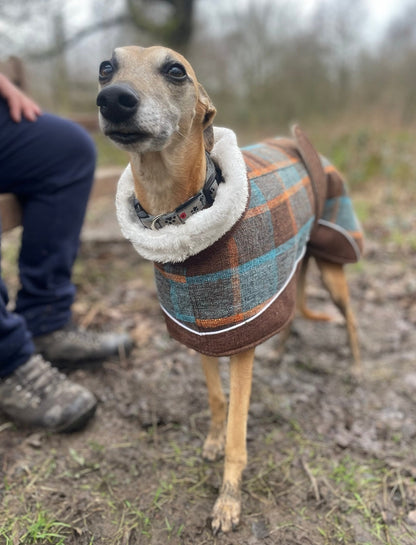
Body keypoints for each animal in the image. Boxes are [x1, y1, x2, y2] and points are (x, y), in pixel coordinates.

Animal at [96, 45, 360, 532]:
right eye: (106, 68)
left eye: (175, 70)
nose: (115, 100)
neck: (180, 216)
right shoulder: (199, 329)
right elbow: (217, 399)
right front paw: (213, 441)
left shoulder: (239, 341)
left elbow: (238, 425)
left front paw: (229, 499)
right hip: (292, 265)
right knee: (290, 309)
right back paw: (281, 352)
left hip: (334, 264)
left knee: (350, 318)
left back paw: (354, 366)